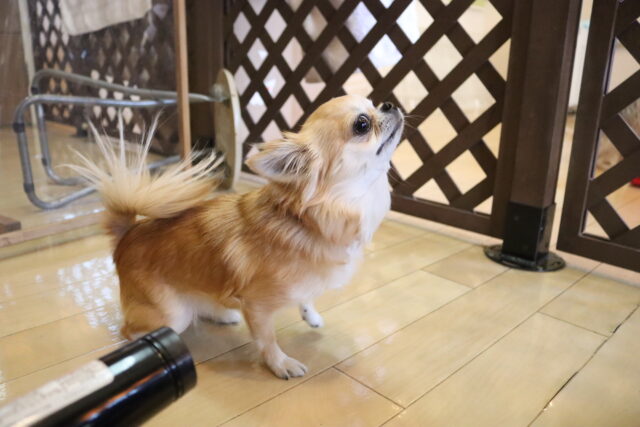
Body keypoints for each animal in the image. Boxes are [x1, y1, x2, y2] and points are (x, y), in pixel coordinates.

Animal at [73, 95, 404, 379]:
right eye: (362, 124)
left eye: (373, 103)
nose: (389, 104)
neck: (308, 222)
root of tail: (128, 233)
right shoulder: (257, 307)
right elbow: (267, 339)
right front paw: (280, 364)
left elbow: (305, 296)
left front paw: (310, 315)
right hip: (171, 313)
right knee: (131, 330)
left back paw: (221, 314)